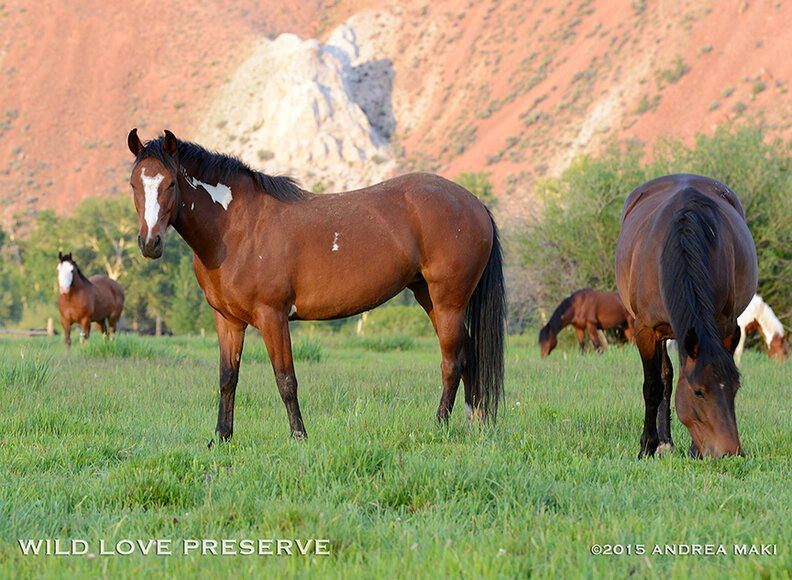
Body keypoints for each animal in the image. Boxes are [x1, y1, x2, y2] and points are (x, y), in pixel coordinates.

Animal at [127, 129, 505, 443]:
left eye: (170, 184)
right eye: (133, 184)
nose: (150, 243)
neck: (236, 227)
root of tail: (474, 203)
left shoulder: (273, 317)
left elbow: (286, 380)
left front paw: (299, 436)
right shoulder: (227, 320)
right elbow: (227, 378)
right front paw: (221, 437)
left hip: (448, 301)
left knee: (452, 362)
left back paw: (439, 425)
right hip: (430, 297)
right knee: (468, 356)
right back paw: (474, 426)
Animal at [615, 174, 757, 459]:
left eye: (735, 389)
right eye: (698, 392)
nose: (730, 452)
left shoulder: (723, 326)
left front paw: (694, 450)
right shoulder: (645, 330)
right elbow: (653, 386)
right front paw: (647, 446)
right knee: (665, 378)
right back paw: (664, 441)